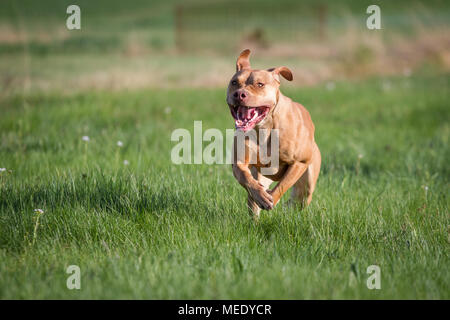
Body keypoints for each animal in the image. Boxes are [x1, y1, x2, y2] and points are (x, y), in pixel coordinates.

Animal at [229, 48, 320, 218]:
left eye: (260, 84)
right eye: (234, 82)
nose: (239, 94)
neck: (264, 128)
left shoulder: (299, 162)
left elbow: (283, 184)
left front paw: (271, 198)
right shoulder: (239, 163)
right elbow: (245, 178)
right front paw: (261, 196)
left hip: (307, 184)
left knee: (298, 200)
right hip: (261, 176)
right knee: (254, 199)